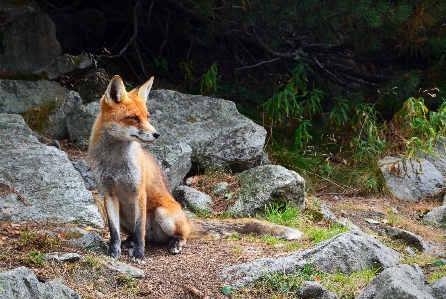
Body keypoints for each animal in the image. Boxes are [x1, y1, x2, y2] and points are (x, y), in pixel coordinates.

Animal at [88, 75, 304, 264]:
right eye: (133, 117)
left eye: (147, 117)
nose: (157, 134)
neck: (114, 163)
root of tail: (186, 219)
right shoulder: (108, 193)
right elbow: (114, 232)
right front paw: (113, 252)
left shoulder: (138, 191)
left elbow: (140, 229)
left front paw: (139, 256)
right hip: (125, 216)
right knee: (138, 234)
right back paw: (130, 242)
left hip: (163, 214)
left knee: (174, 236)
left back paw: (174, 244)